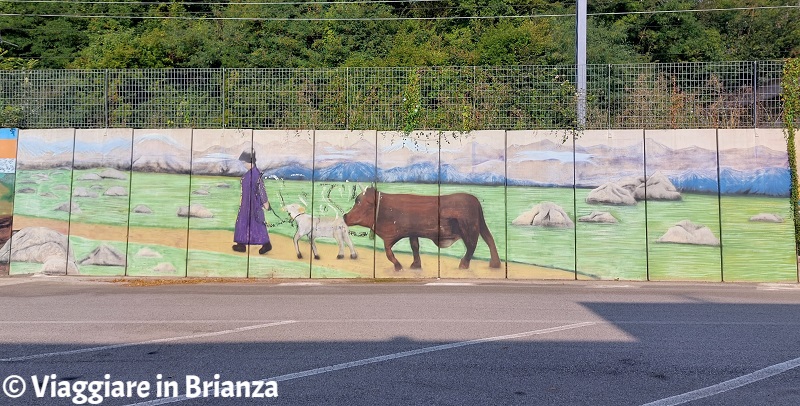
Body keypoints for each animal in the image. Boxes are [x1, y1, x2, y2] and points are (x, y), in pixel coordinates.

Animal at [342, 188, 500, 272]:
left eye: (358, 202)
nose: (344, 216)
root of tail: (474, 199)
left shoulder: (389, 237)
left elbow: (389, 253)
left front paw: (399, 266)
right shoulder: (412, 233)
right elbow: (415, 247)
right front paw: (415, 265)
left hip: (469, 228)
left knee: (472, 245)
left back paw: (463, 265)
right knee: (489, 239)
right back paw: (495, 264)